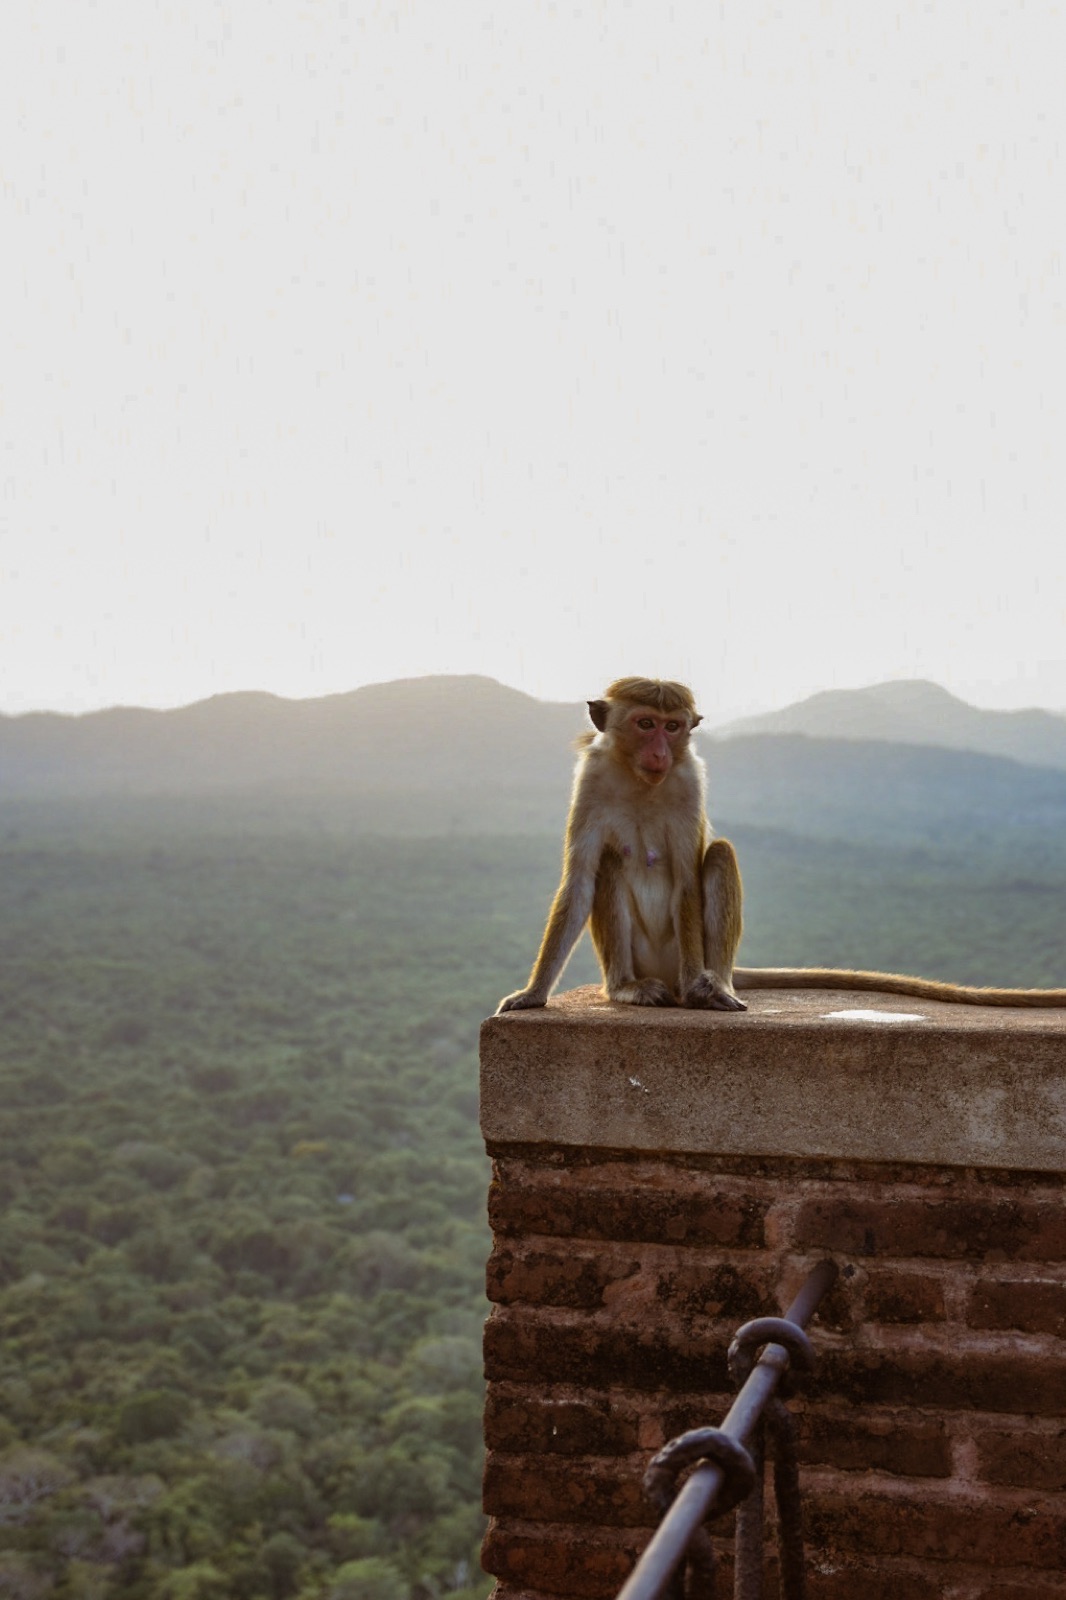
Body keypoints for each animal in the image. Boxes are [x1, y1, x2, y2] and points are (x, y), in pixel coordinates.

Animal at [495, 676, 1066, 1016]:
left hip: (685, 954)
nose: (660, 750)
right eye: (645, 723)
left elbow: (687, 878)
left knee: (719, 856)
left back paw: (711, 986)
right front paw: (533, 994)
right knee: (610, 865)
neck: (642, 781)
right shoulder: (589, 780)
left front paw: (701, 990)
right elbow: (580, 879)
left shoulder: (689, 780)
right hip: (643, 958)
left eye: (674, 726)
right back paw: (626, 988)